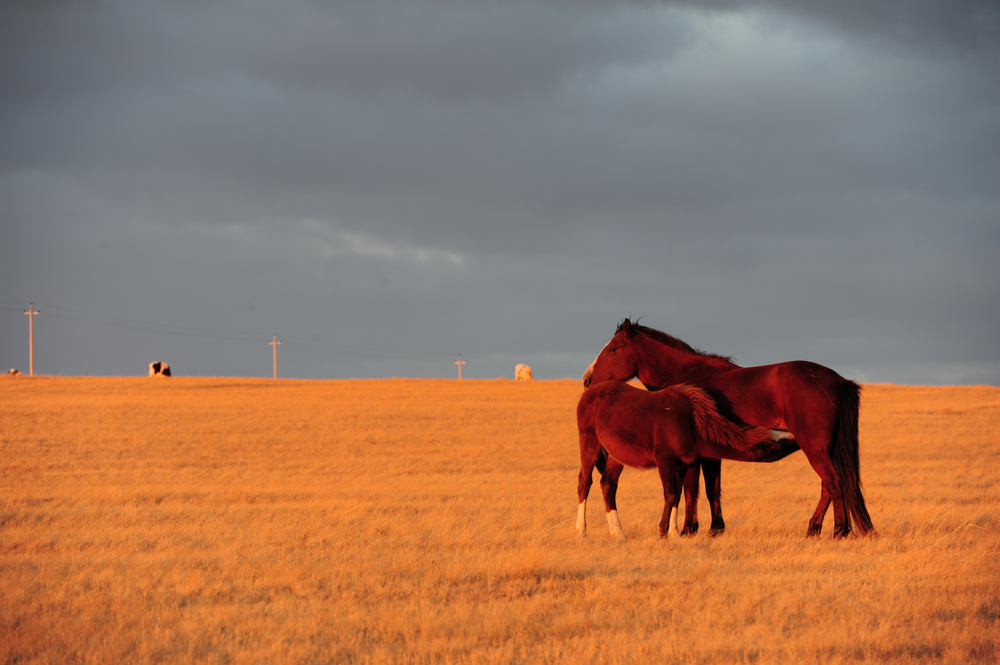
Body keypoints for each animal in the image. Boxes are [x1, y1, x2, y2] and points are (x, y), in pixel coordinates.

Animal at [580, 382, 796, 536]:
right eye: (777, 442)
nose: (796, 438)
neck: (691, 424)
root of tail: (588, 393)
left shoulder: (684, 464)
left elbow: (678, 494)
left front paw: (675, 533)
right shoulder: (664, 461)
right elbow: (670, 494)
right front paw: (663, 531)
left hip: (616, 455)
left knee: (608, 484)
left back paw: (617, 532)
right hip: (589, 442)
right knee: (584, 482)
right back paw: (581, 530)